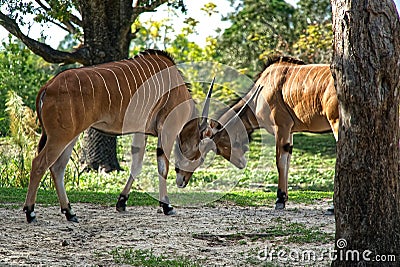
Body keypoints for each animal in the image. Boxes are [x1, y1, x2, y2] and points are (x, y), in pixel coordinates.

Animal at [23, 49, 211, 223]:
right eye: (199, 157)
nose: (183, 182)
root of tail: (48, 86)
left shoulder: (141, 131)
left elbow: (136, 165)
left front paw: (121, 202)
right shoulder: (167, 131)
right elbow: (162, 167)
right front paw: (167, 206)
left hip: (69, 137)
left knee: (57, 168)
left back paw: (70, 212)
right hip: (60, 137)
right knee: (39, 164)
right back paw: (31, 213)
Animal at [192, 57, 336, 210]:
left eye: (222, 146)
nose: (241, 163)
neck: (260, 93)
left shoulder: (281, 127)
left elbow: (280, 162)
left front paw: (280, 199)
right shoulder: (290, 132)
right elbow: (288, 161)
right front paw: (284, 198)